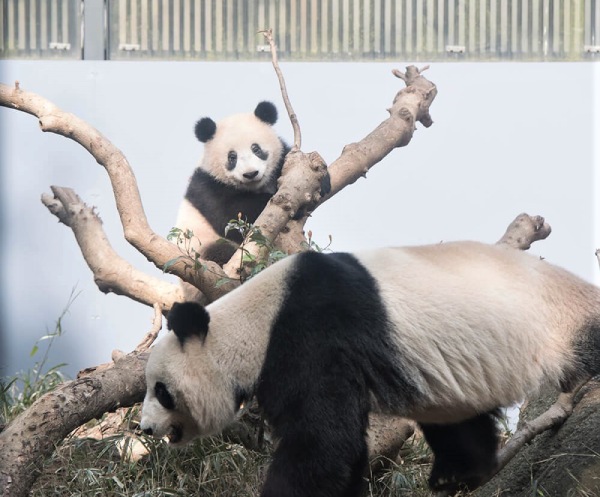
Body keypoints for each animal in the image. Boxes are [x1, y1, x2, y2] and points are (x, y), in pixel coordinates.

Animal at [139, 239, 600, 492]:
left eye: (161, 390)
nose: (143, 428)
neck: (255, 320)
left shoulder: (312, 337)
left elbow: (322, 441)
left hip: (562, 323)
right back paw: (455, 475)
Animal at [175, 100, 290, 264]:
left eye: (256, 149)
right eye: (232, 157)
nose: (250, 174)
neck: (254, 188)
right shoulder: (208, 186)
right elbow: (230, 217)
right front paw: (270, 200)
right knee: (219, 251)